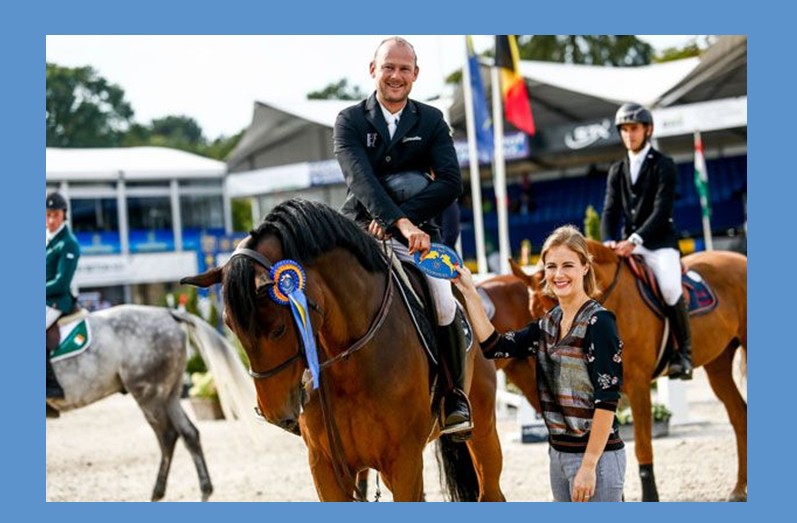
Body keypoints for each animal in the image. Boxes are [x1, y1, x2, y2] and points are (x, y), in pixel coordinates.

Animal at [46, 304, 254, 501]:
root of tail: (169, 314)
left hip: (149, 394)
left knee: (168, 435)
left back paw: (157, 493)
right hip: (170, 395)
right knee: (189, 433)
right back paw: (204, 491)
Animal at [181, 198, 505, 501]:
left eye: (278, 329)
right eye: (230, 326)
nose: (275, 414)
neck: (348, 361)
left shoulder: (404, 461)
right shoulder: (325, 466)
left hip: (482, 428)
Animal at [509, 241, 747, 502]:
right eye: (536, 315)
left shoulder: (638, 385)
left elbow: (642, 446)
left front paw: (650, 496)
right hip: (718, 364)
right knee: (739, 415)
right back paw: (738, 488)